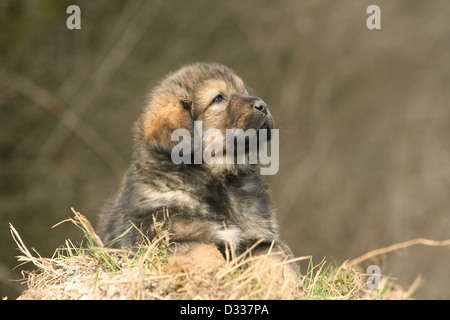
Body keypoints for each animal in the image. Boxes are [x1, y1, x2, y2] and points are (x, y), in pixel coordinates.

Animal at [97, 63, 290, 262]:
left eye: (244, 91)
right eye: (218, 98)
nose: (263, 106)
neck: (220, 183)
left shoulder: (259, 238)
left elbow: (275, 259)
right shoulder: (173, 239)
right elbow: (205, 252)